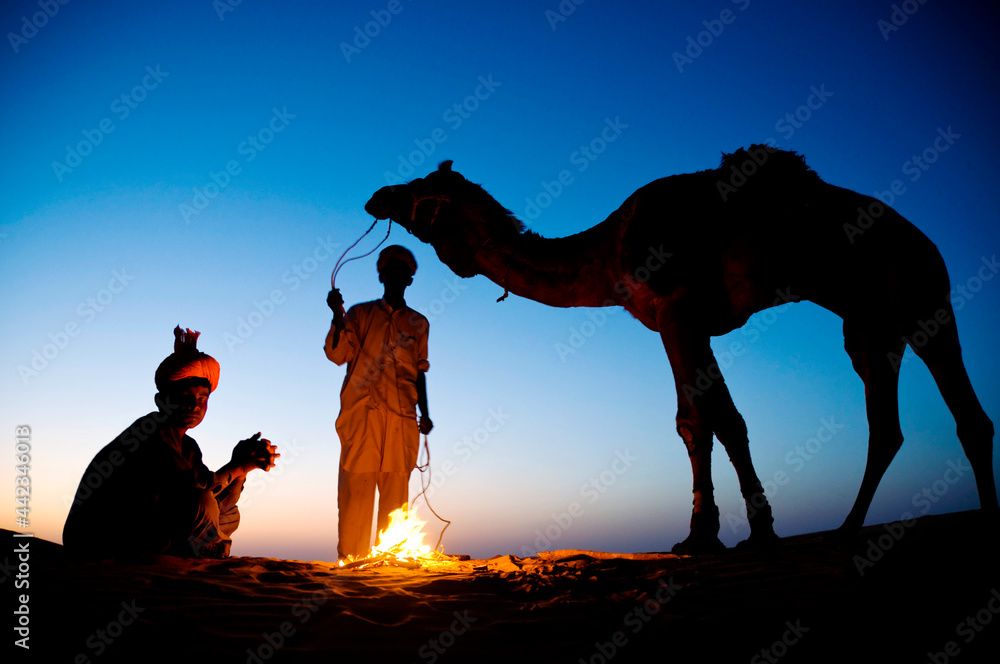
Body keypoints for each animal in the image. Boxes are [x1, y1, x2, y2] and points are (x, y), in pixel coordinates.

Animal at [364, 148, 996, 552]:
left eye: (420, 189)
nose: (375, 195)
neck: (608, 251)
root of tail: (924, 240)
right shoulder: (687, 324)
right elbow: (710, 420)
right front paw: (723, 532)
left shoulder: (677, 313)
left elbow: (707, 420)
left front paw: (728, 533)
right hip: (869, 327)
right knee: (890, 424)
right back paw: (845, 532)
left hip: (921, 297)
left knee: (966, 415)